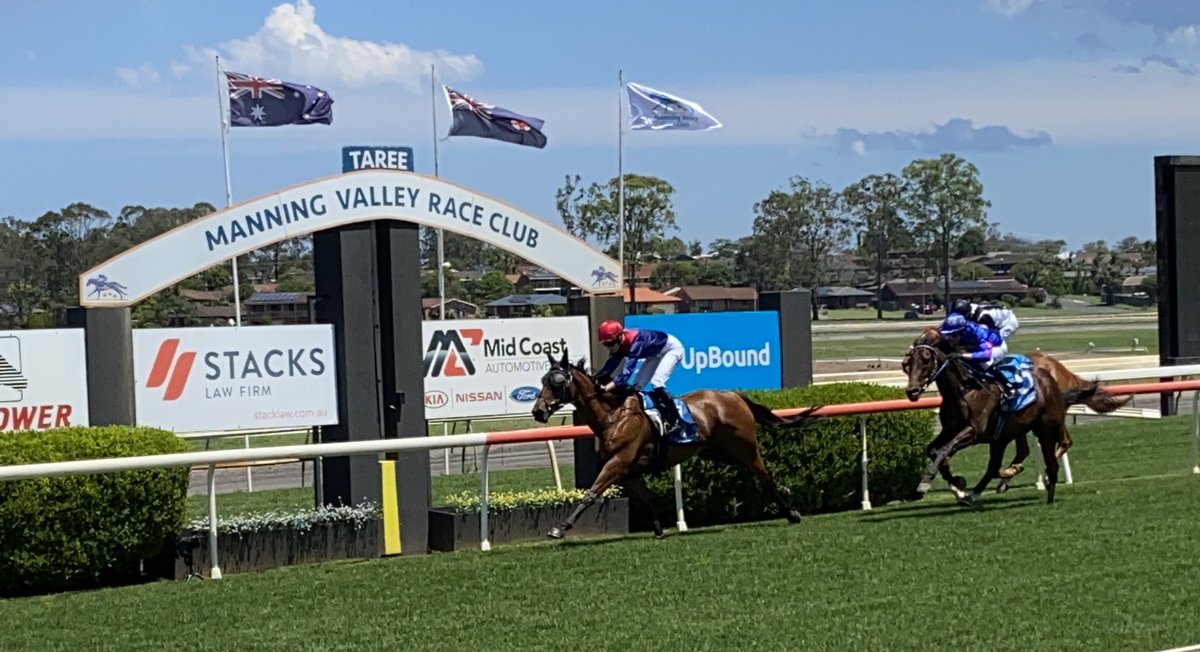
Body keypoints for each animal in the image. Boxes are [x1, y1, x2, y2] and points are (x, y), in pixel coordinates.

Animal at [530, 353, 820, 540]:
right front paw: (659, 530)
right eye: (543, 379)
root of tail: (733, 395)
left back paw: (791, 511)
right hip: (719, 452)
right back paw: (787, 500)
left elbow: (591, 494)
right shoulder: (629, 470)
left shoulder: (618, 462)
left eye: (557, 382)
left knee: (763, 473)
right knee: (760, 473)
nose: (537, 411)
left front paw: (560, 527)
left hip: (744, 446)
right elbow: (647, 498)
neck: (613, 415)